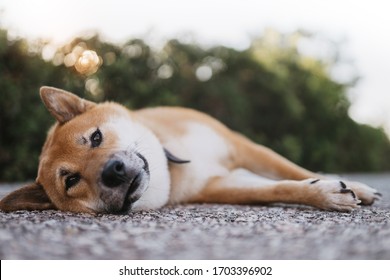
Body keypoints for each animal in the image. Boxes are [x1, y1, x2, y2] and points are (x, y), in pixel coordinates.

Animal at [0, 86, 380, 213]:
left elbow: (293, 172)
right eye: (71, 181)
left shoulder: (242, 146)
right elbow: (280, 188)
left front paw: (353, 186)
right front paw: (326, 195)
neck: (175, 162)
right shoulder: (218, 186)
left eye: (95, 138)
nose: (113, 171)